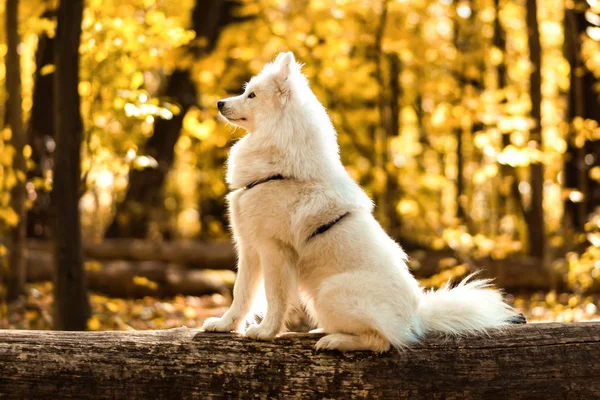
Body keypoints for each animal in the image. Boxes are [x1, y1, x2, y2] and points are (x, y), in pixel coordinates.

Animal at [203, 50, 520, 354]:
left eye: (251, 95)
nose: (219, 102)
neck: (279, 170)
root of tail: (416, 316)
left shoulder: (274, 250)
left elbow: (274, 296)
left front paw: (266, 331)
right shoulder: (249, 246)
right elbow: (241, 293)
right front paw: (224, 325)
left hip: (330, 292)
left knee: (382, 341)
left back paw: (335, 341)